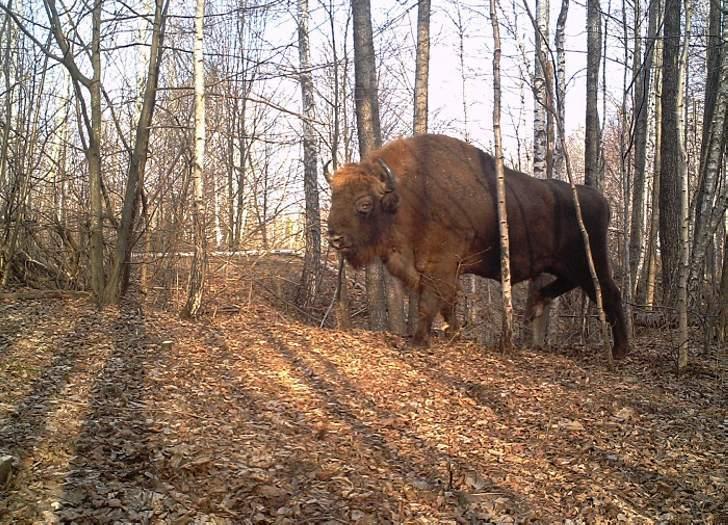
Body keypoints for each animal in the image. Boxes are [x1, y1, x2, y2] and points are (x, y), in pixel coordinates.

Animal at [328, 133, 628, 358]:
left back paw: (620, 350)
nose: (334, 238)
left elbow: (430, 302)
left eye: (364, 204)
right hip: (565, 263)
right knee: (570, 285)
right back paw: (536, 306)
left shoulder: (441, 265)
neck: (406, 196)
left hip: (589, 261)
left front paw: (419, 341)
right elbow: (447, 302)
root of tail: (600, 199)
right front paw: (452, 334)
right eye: (334, 197)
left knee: (610, 293)